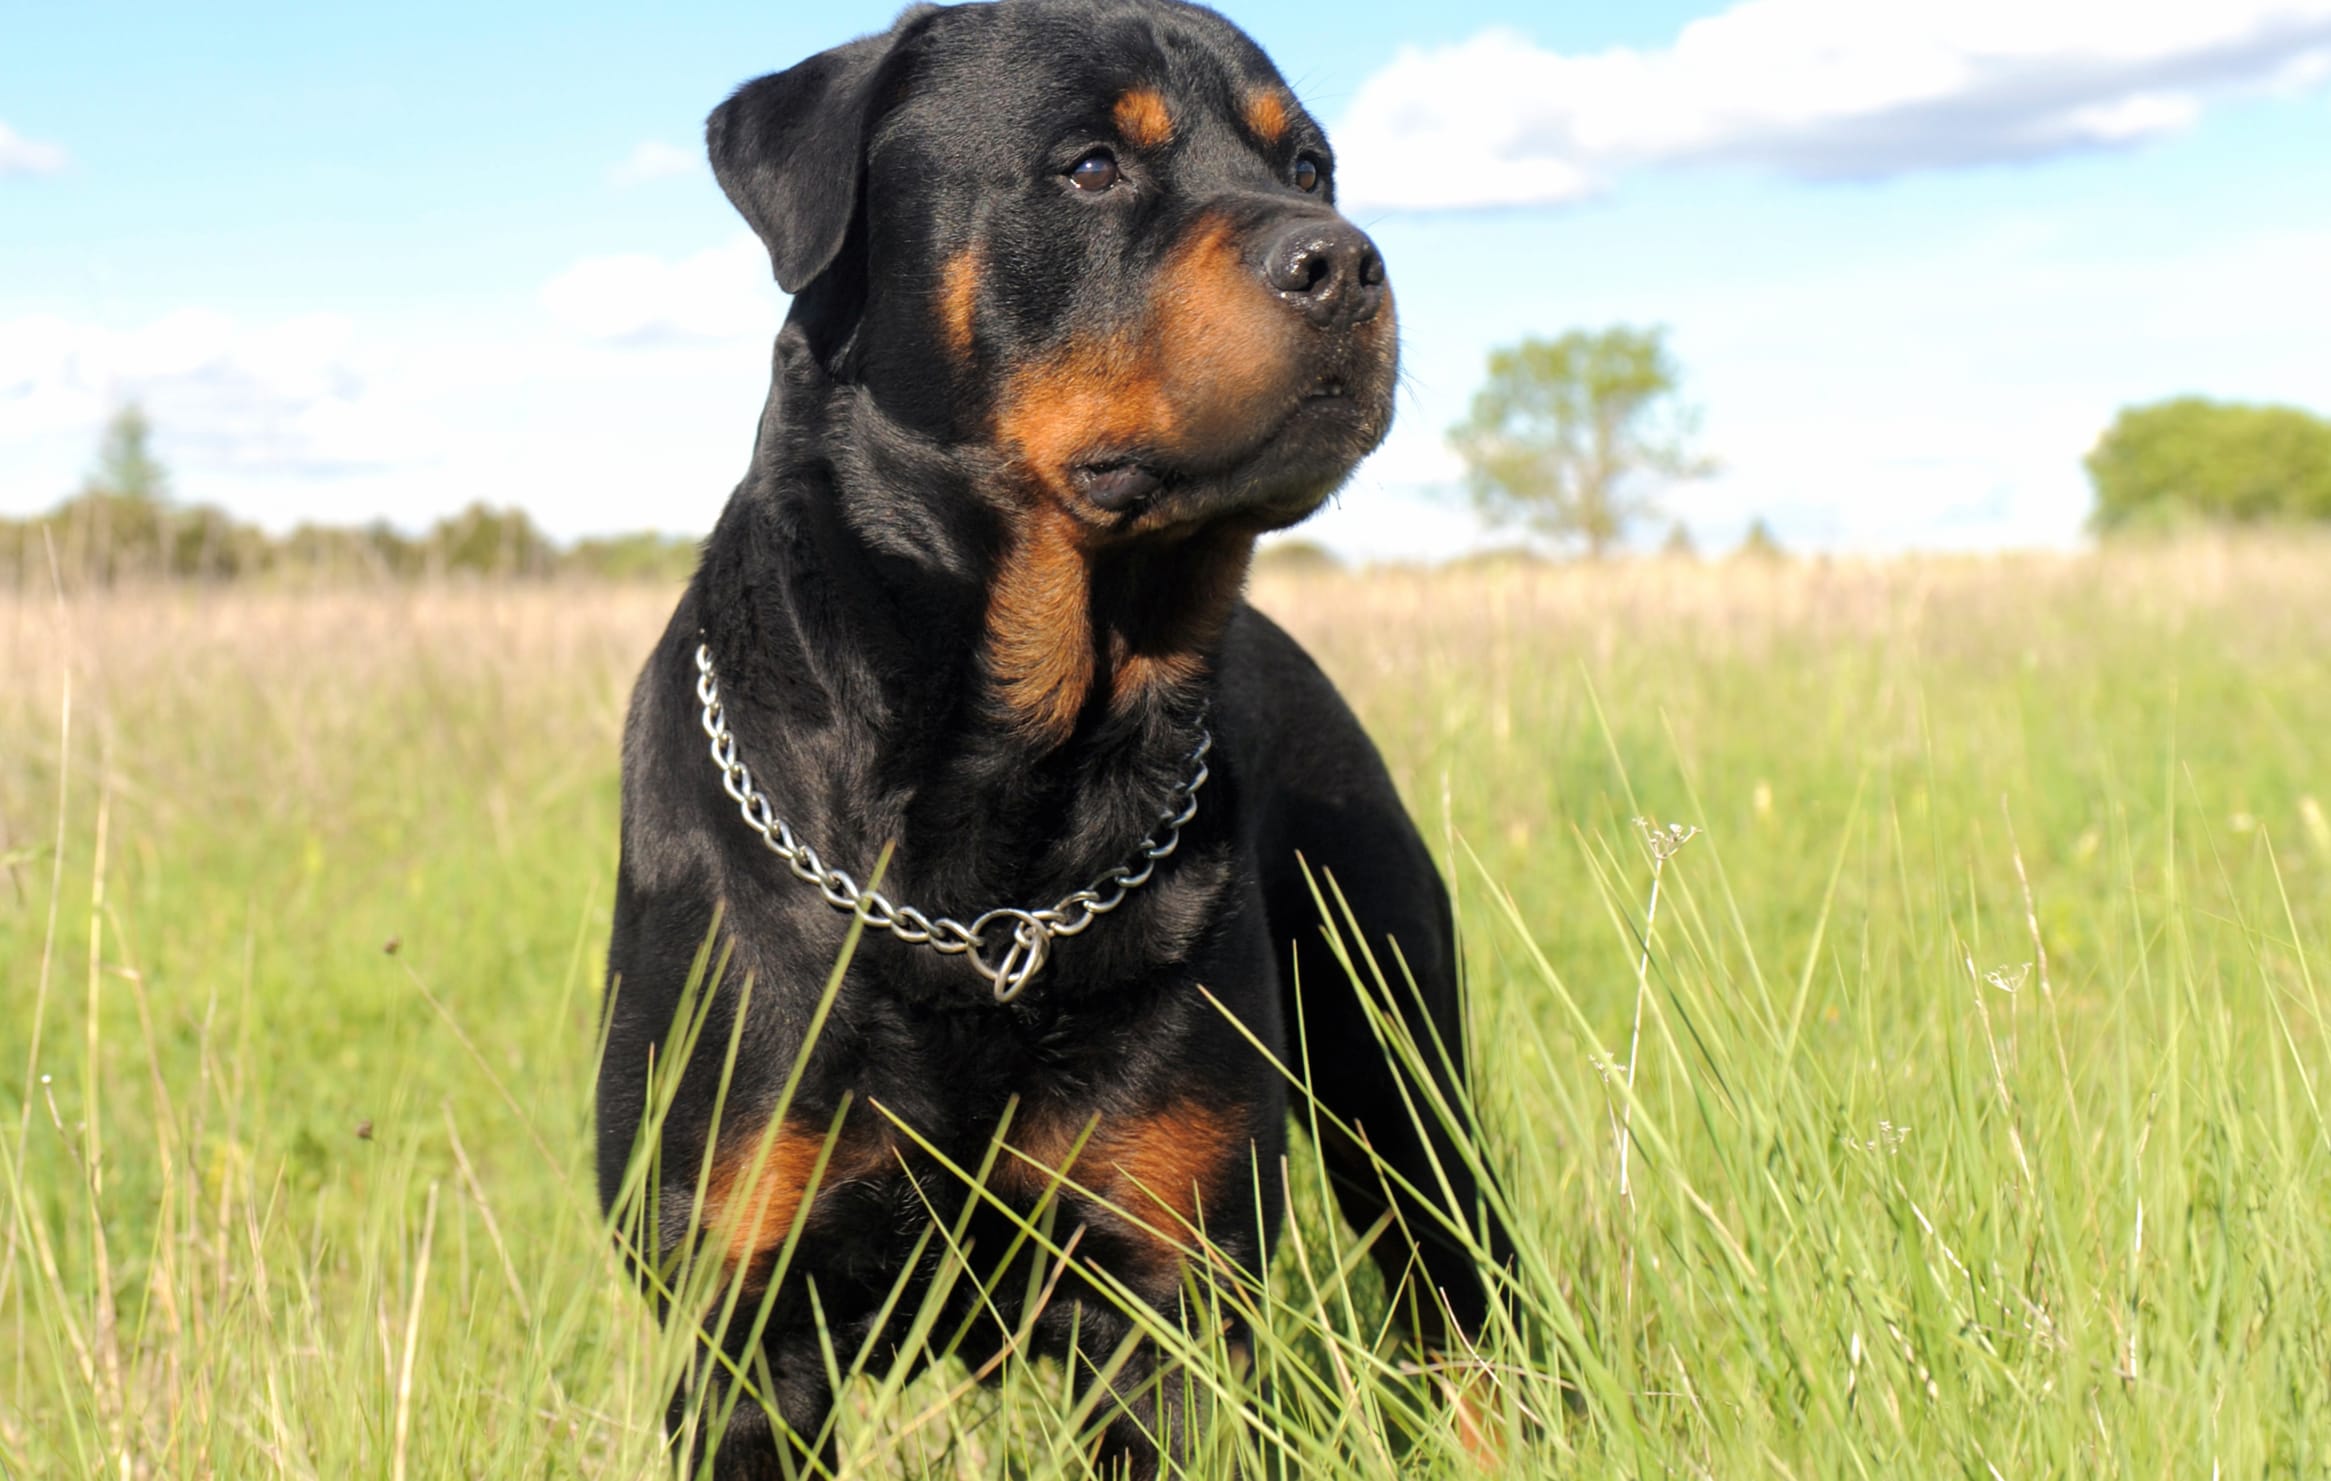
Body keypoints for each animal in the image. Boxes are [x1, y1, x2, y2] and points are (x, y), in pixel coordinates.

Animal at [596, 5, 1510, 1474]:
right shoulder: (743, 1317)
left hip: (1402, 1065)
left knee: (1465, 1306)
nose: (1344, 259)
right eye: (1089, 166)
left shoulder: (1159, 1288)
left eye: (1307, 166)